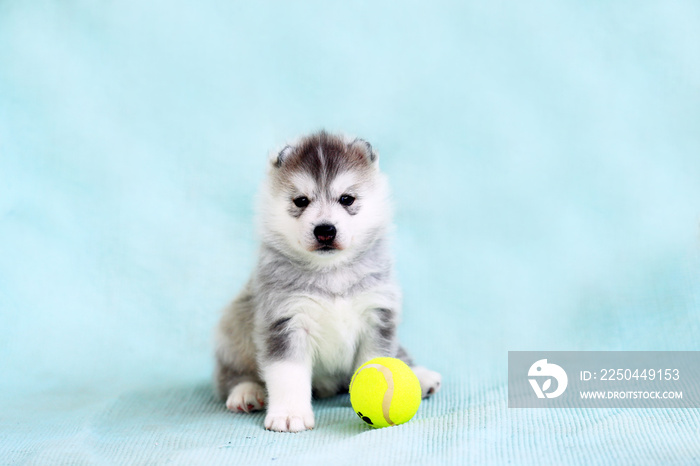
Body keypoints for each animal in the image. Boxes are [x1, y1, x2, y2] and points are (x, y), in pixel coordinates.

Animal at [215, 130, 442, 430]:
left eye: (346, 199)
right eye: (301, 201)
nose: (325, 230)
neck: (332, 271)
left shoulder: (377, 314)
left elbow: (376, 360)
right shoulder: (285, 320)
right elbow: (287, 374)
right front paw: (289, 414)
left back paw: (420, 375)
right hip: (233, 329)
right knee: (231, 375)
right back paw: (246, 392)